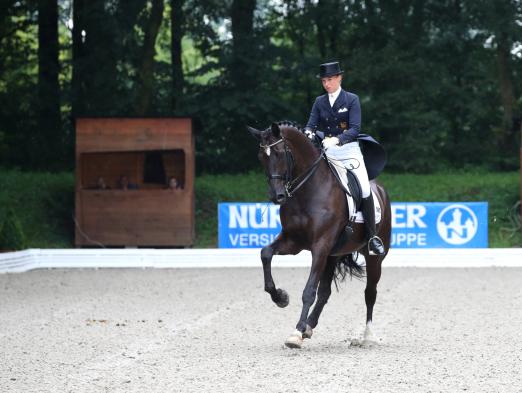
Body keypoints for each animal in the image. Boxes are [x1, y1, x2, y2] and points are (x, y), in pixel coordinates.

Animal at [248, 121, 390, 348]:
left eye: (279, 153)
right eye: (262, 156)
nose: (276, 196)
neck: (307, 192)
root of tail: (380, 189)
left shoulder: (320, 247)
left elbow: (309, 291)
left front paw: (296, 333)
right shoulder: (293, 242)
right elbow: (266, 253)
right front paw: (280, 298)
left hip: (374, 257)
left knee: (370, 292)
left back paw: (367, 336)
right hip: (333, 255)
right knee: (325, 292)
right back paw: (309, 326)